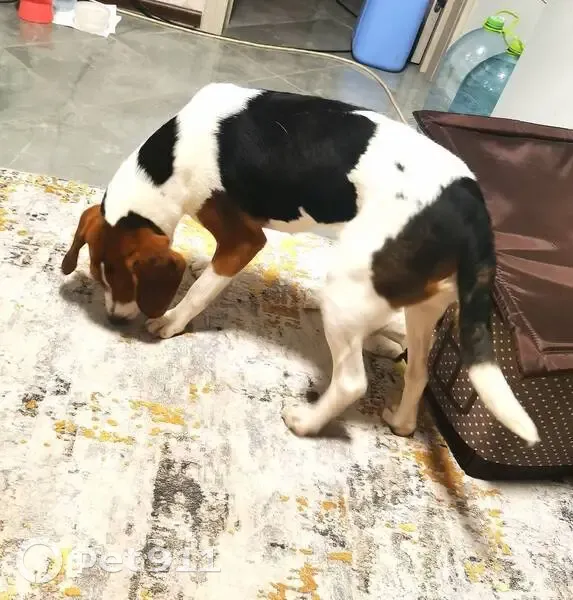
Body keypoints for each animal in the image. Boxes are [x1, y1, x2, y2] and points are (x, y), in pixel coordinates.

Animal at [61, 83, 539, 444]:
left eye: (125, 281)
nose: (114, 319)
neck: (170, 160)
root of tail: (472, 207)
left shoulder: (243, 241)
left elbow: (200, 291)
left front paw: (171, 321)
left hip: (348, 291)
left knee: (352, 381)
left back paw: (307, 421)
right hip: (422, 303)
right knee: (417, 368)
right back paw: (398, 413)